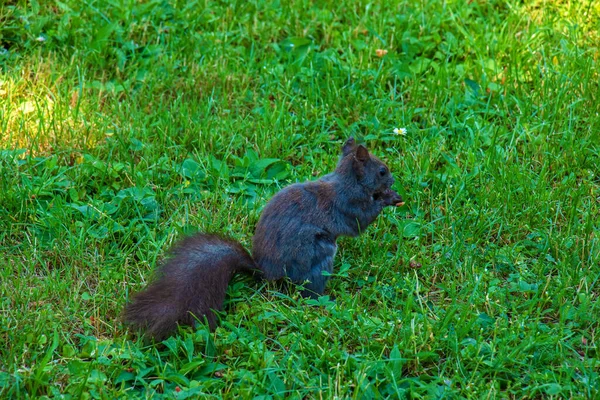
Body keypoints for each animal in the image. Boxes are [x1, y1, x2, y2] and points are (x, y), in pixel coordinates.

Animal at [124, 138, 404, 338]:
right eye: (382, 171)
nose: (392, 180)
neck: (346, 181)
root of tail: (266, 272)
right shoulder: (348, 205)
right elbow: (361, 221)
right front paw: (388, 198)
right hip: (319, 253)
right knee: (310, 291)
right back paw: (326, 300)